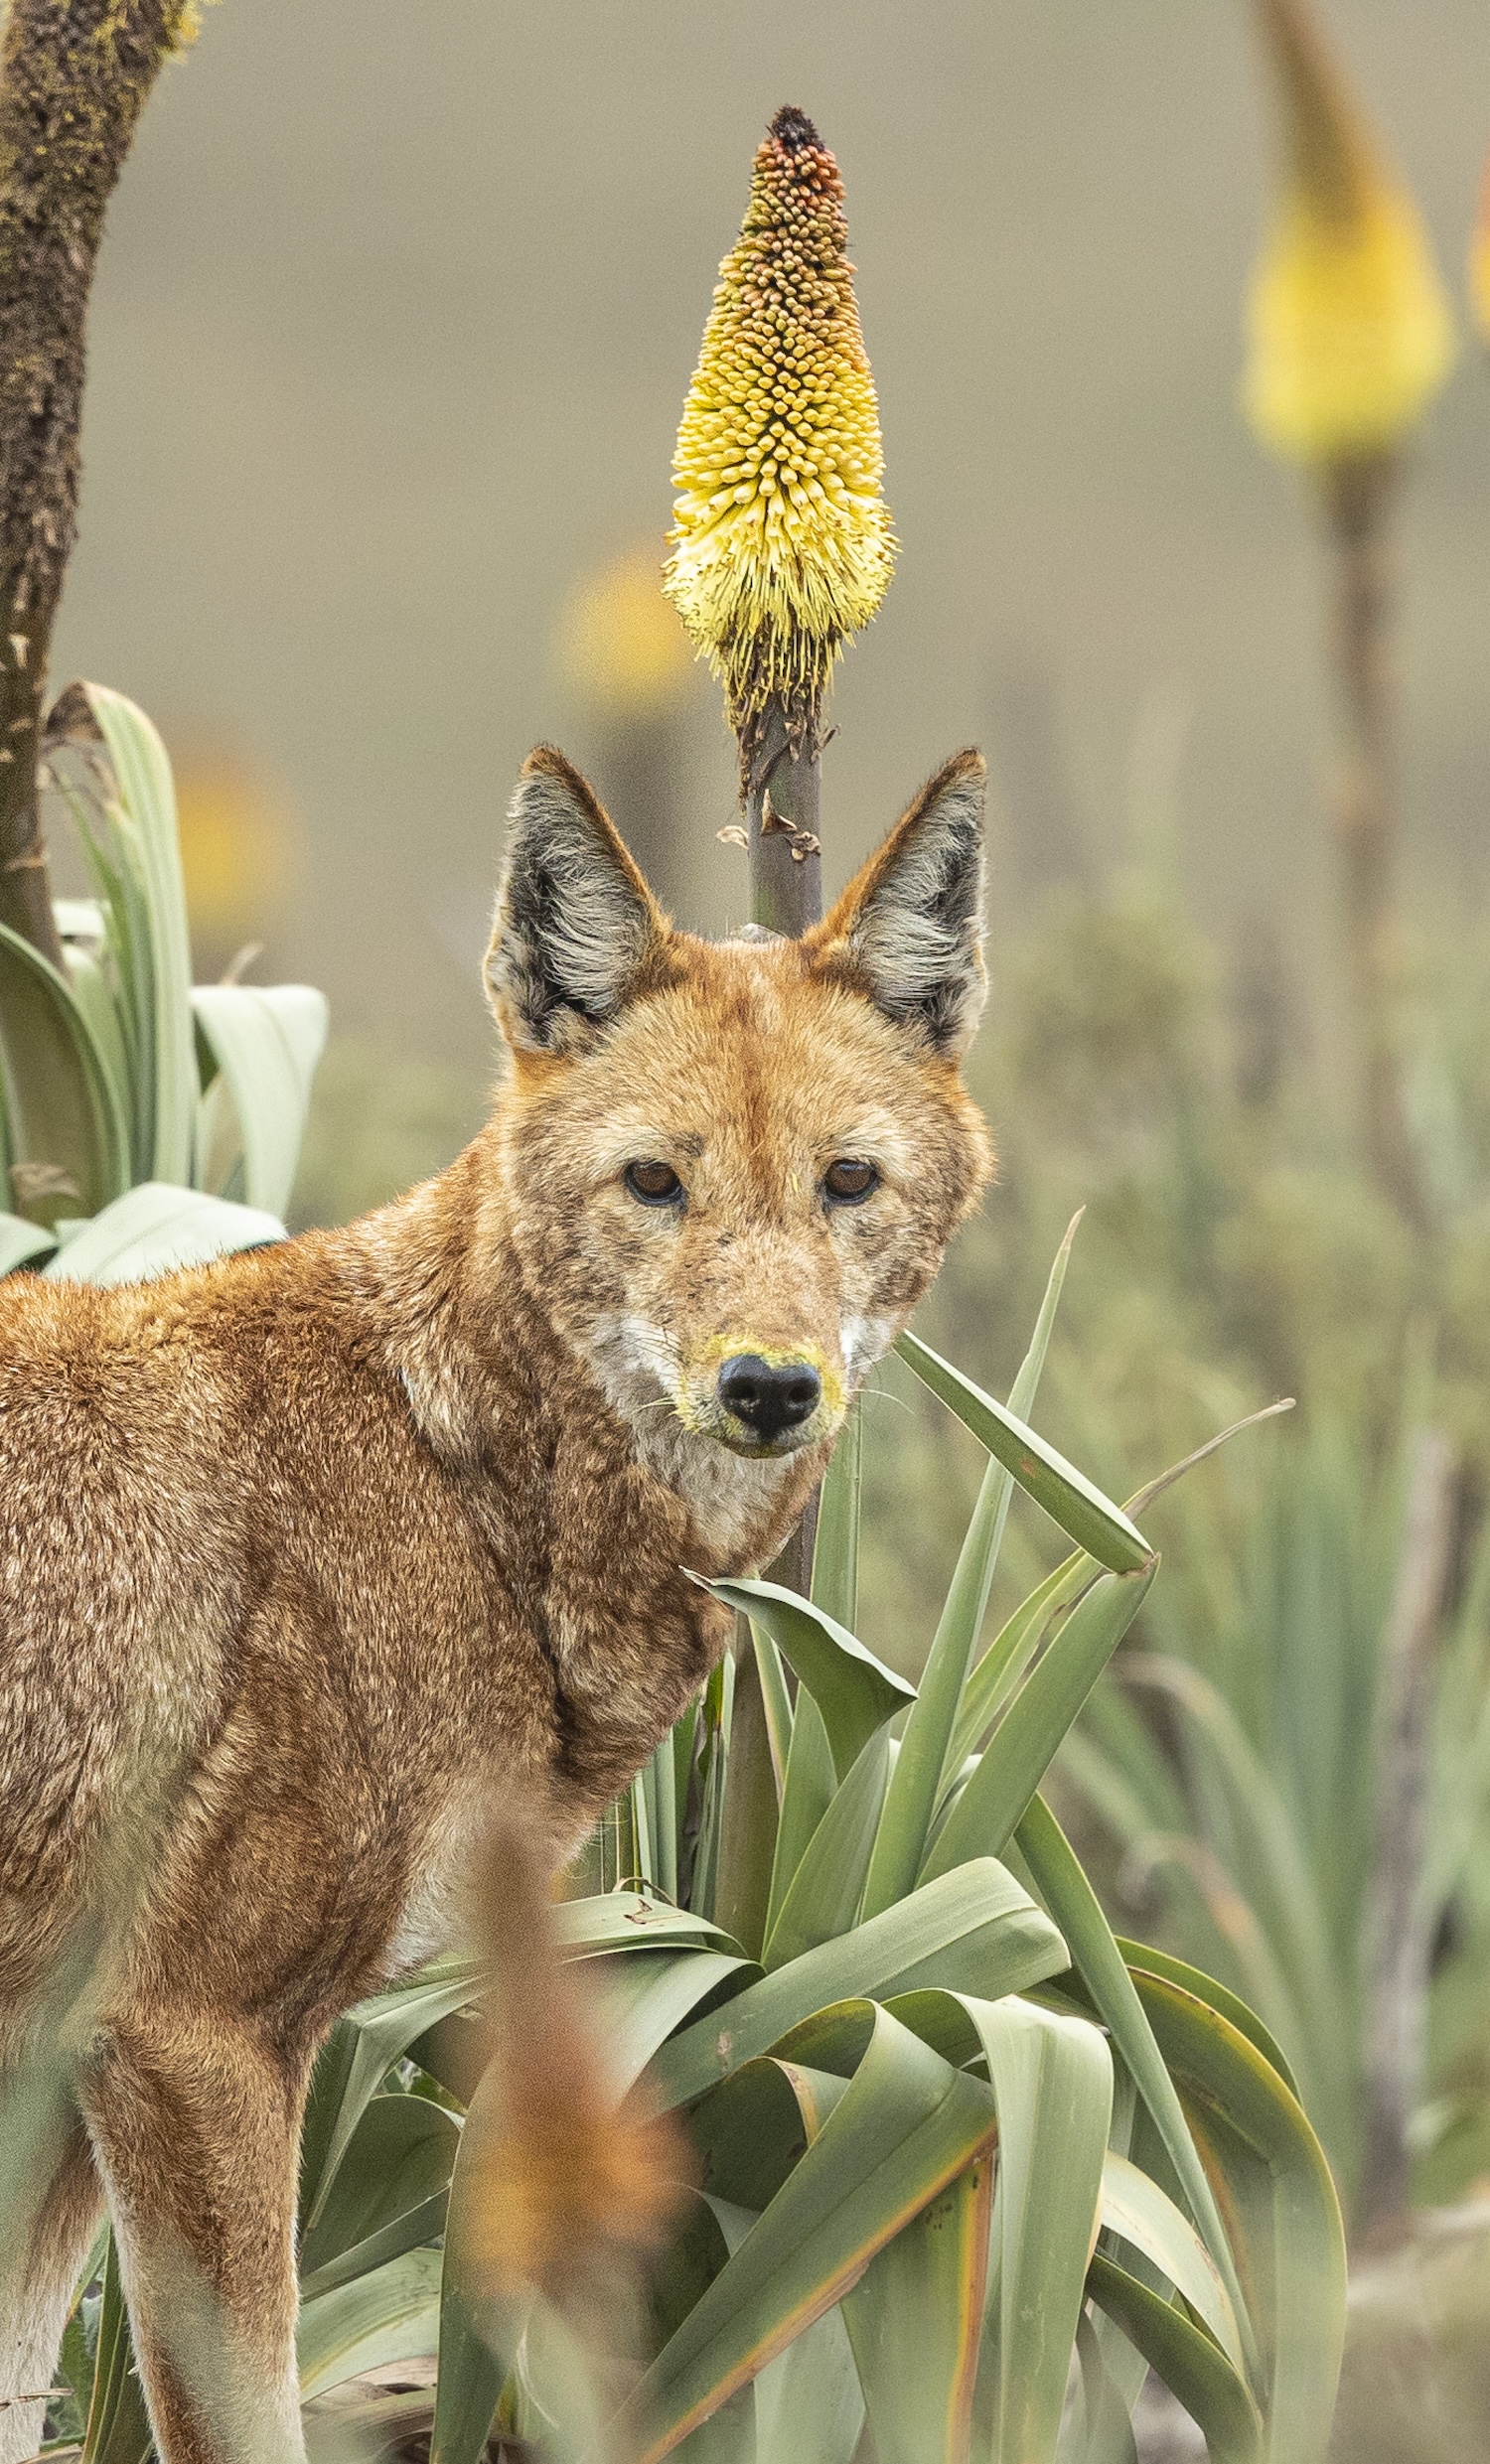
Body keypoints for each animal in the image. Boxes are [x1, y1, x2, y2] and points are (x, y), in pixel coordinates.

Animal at [2, 744, 999, 2464]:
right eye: (655, 1182)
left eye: (847, 1184)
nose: (768, 1388)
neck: (448, 1469)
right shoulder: (190, 2045)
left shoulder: (75, 2082)